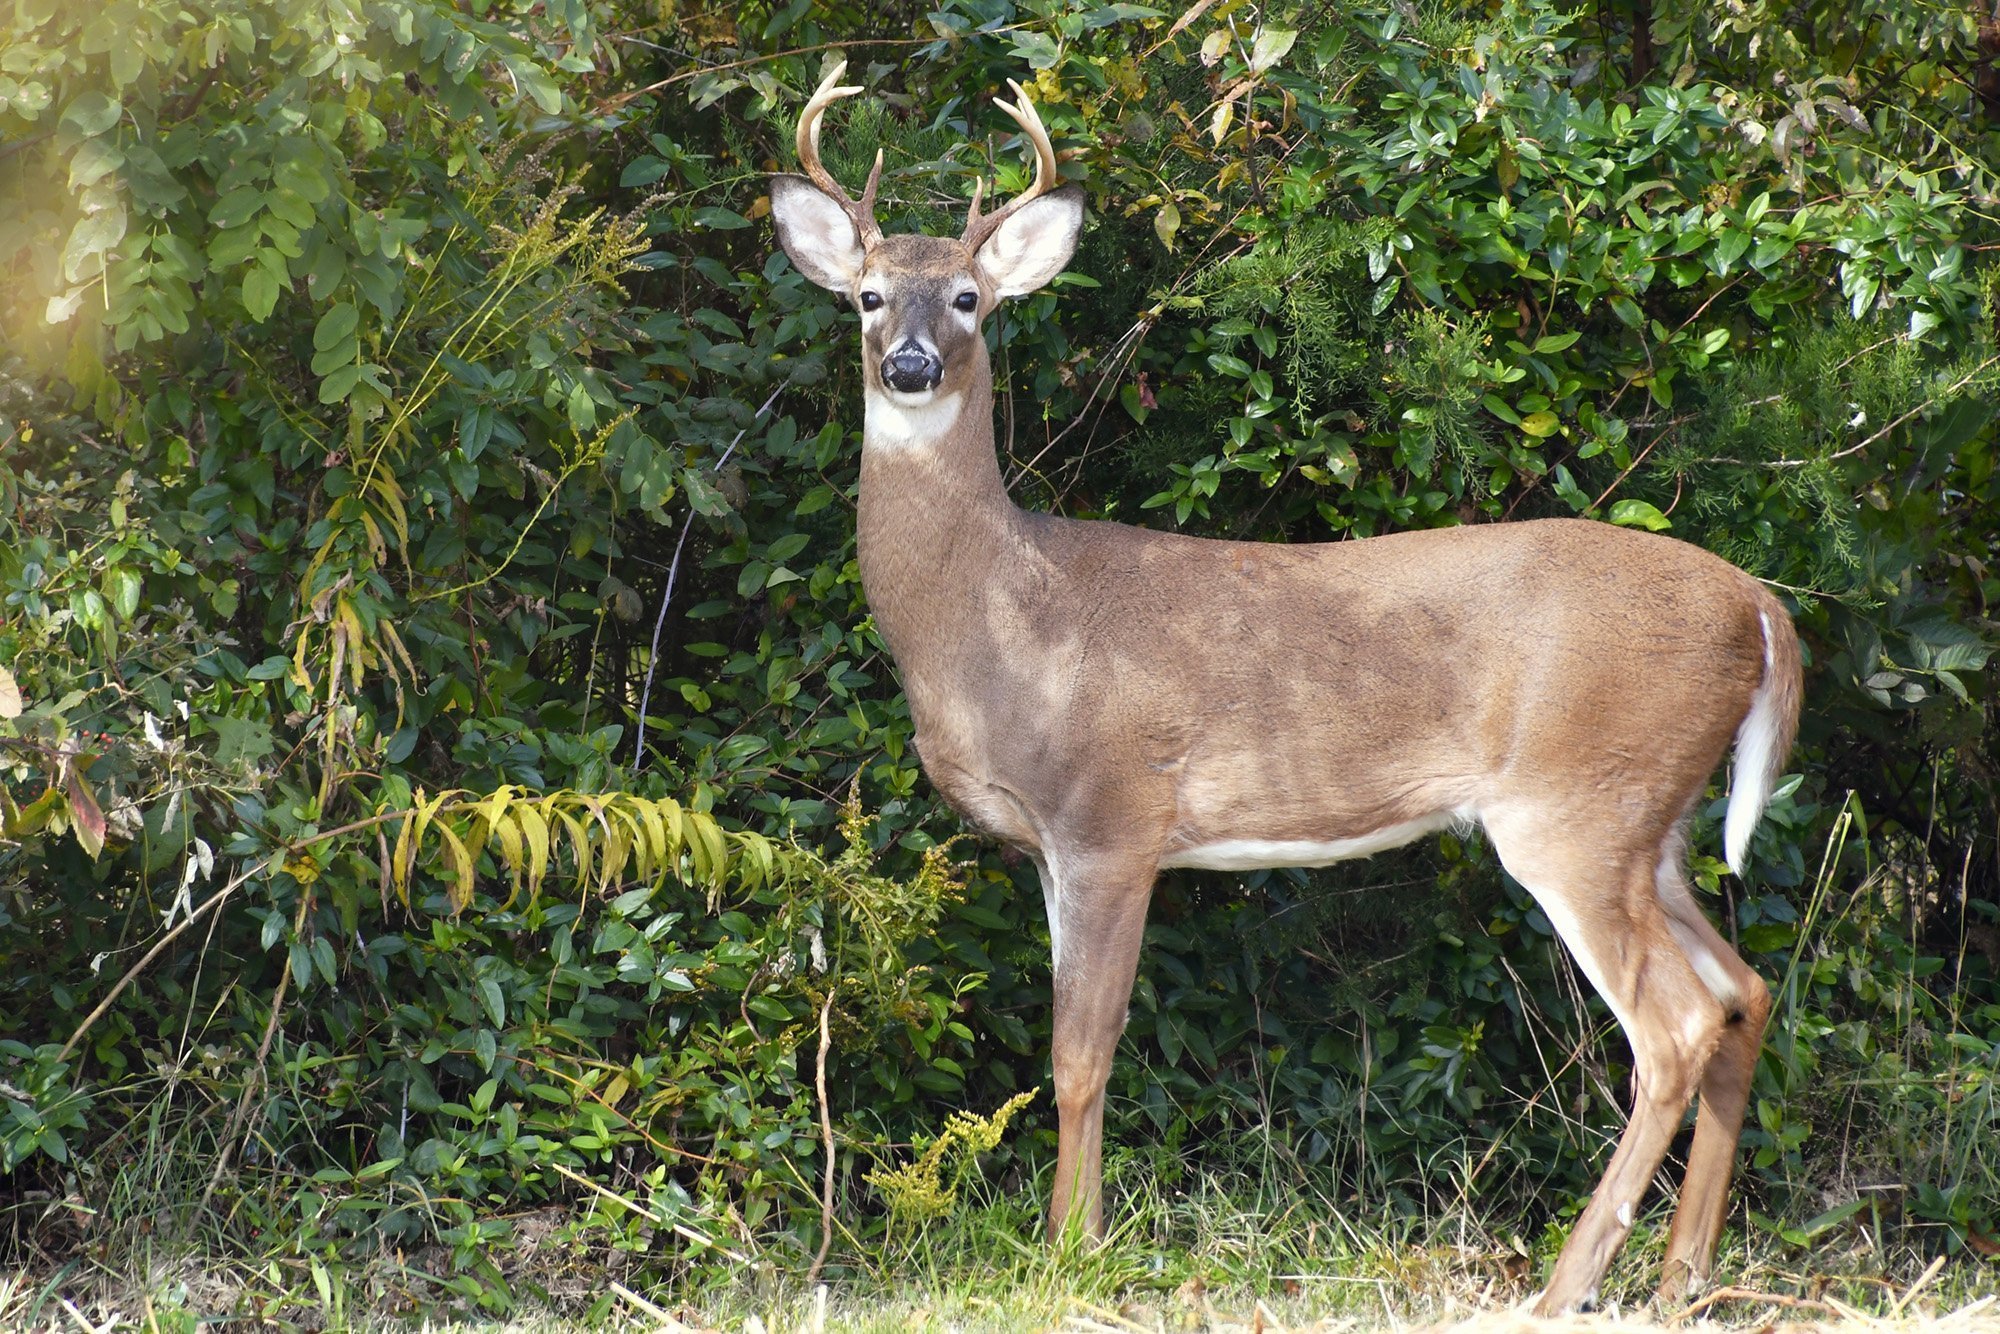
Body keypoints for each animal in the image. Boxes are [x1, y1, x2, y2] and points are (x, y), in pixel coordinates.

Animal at [768, 62, 1803, 1315]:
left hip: (1576, 804)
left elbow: (1080, 1052)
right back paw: (1680, 1274)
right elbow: (1074, 1044)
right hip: (1653, 815)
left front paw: (1071, 1252)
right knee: (1745, 989)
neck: (1000, 613)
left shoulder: (1112, 816)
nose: (910, 363)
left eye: (968, 299)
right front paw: (1077, 1237)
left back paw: (1565, 1285)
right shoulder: (1050, 847)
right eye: (867, 296)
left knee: (1676, 1023)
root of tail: (1757, 604)